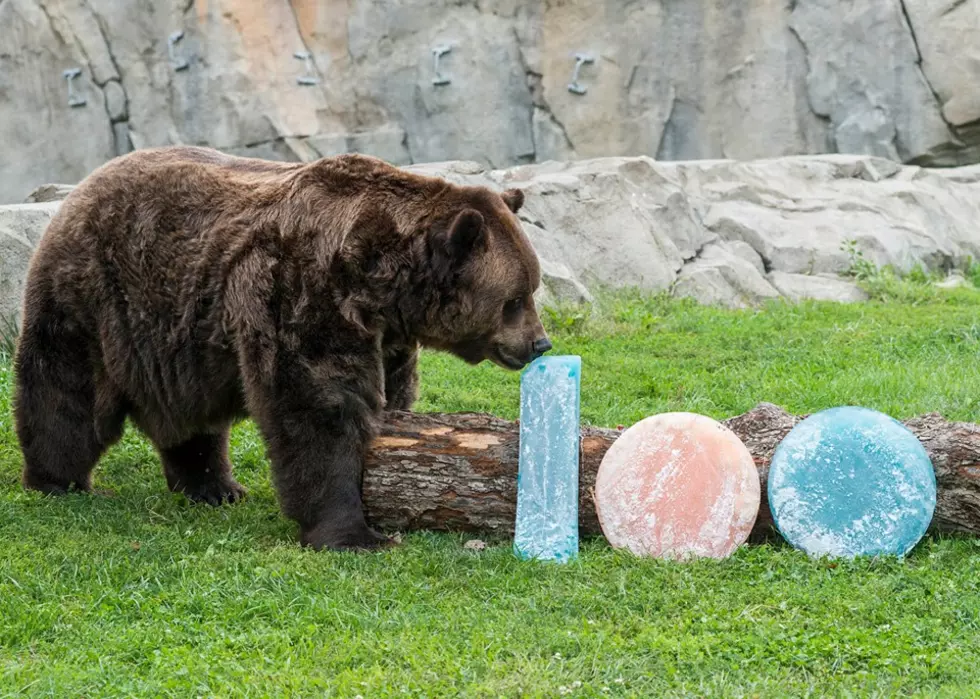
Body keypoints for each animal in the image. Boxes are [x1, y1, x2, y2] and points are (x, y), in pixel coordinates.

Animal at [13, 146, 552, 552]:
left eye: (532, 287)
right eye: (514, 299)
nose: (539, 343)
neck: (380, 281)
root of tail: (80, 188)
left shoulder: (389, 335)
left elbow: (392, 393)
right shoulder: (303, 287)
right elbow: (319, 407)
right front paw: (352, 533)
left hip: (178, 336)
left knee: (190, 417)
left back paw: (215, 486)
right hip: (96, 298)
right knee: (67, 392)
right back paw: (57, 480)